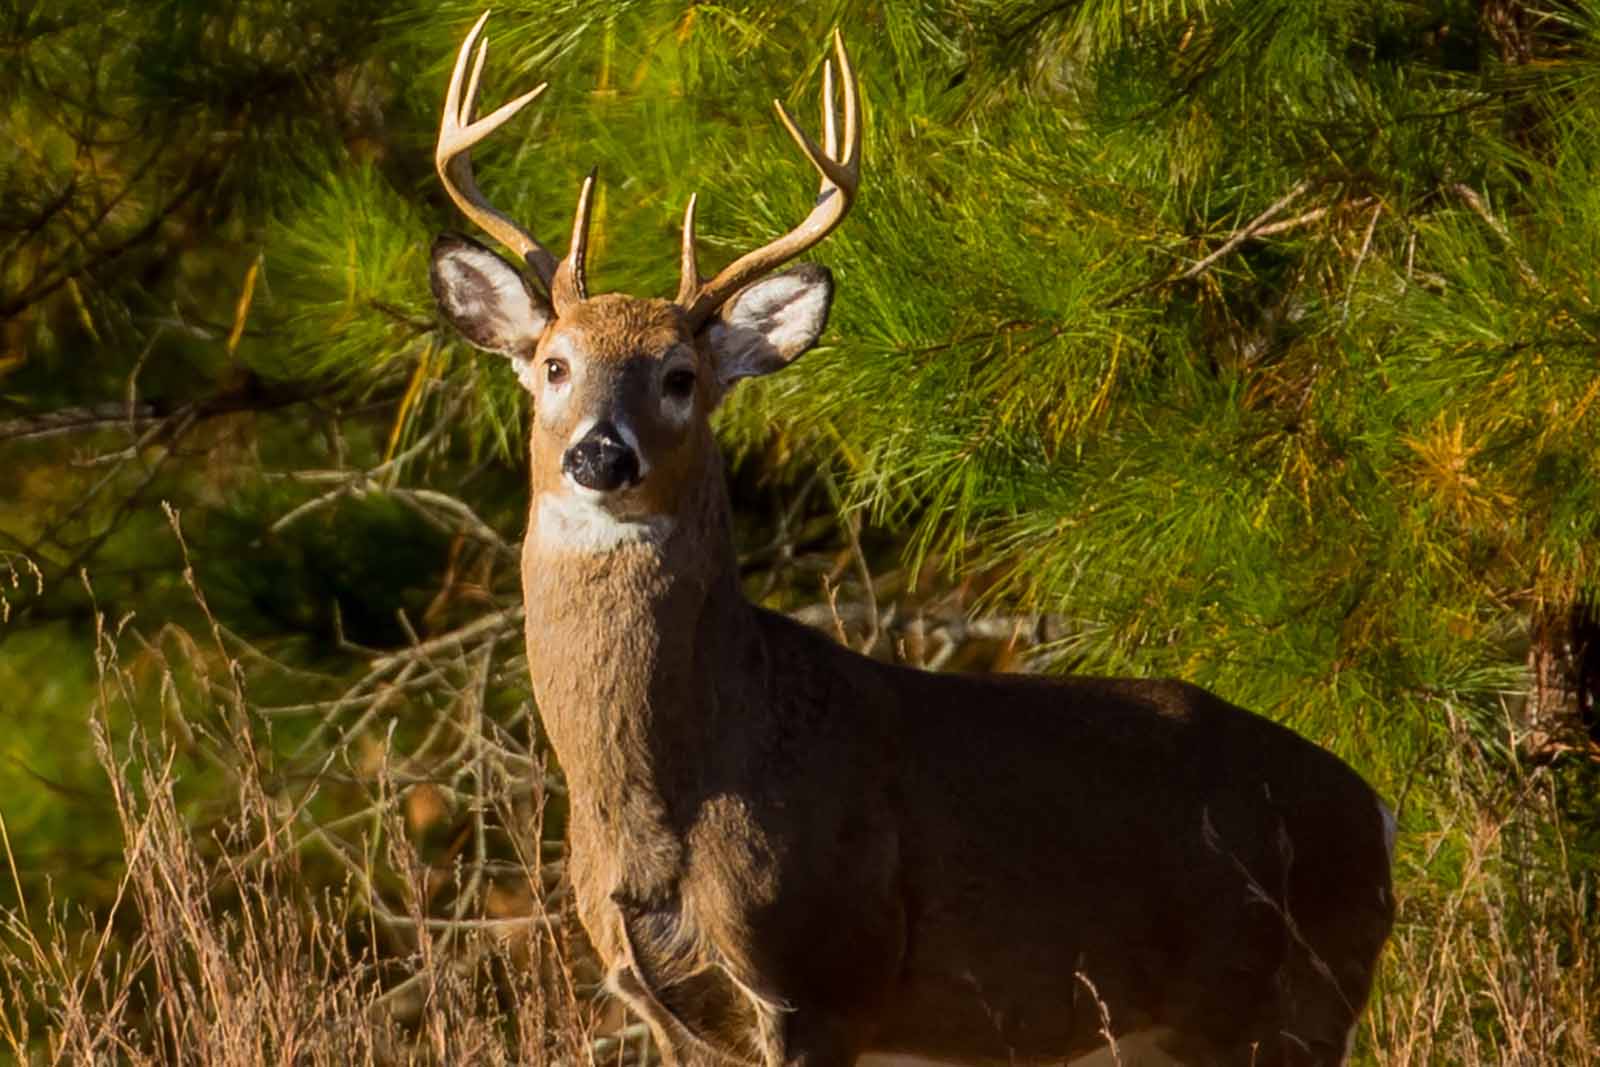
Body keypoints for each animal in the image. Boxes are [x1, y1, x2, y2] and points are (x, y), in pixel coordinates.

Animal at [426, 14, 1396, 1067]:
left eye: (681, 375)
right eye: (554, 365)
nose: (602, 453)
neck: (677, 790)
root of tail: (1379, 815)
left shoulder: (822, 976)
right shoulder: (658, 1000)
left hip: (1286, 1011)